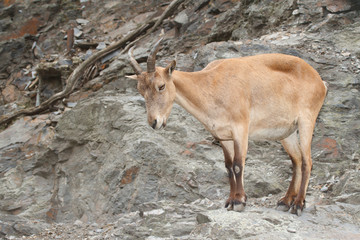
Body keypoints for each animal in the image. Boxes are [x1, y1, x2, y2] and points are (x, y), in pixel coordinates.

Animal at [128, 39, 328, 216]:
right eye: (140, 90)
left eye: (161, 86)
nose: (154, 122)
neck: (211, 86)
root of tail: (320, 81)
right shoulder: (223, 136)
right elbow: (229, 166)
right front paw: (231, 200)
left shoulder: (241, 128)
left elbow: (239, 164)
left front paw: (239, 202)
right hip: (287, 132)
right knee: (296, 160)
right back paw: (285, 201)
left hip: (306, 120)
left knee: (307, 161)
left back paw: (298, 204)